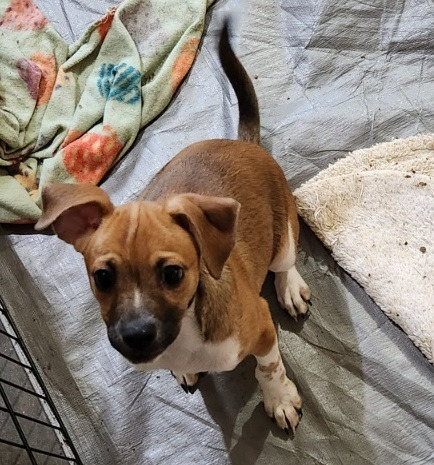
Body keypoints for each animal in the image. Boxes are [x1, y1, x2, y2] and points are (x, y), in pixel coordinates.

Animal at [35, 21, 310, 436]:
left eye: (173, 274)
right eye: (102, 278)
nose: (136, 337)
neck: (186, 333)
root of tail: (245, 144)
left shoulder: (262, 328)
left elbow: (269, 368)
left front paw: (279, 400)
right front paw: (185, 372)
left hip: (284, 236)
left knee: (284, 262)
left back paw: (289, 287)